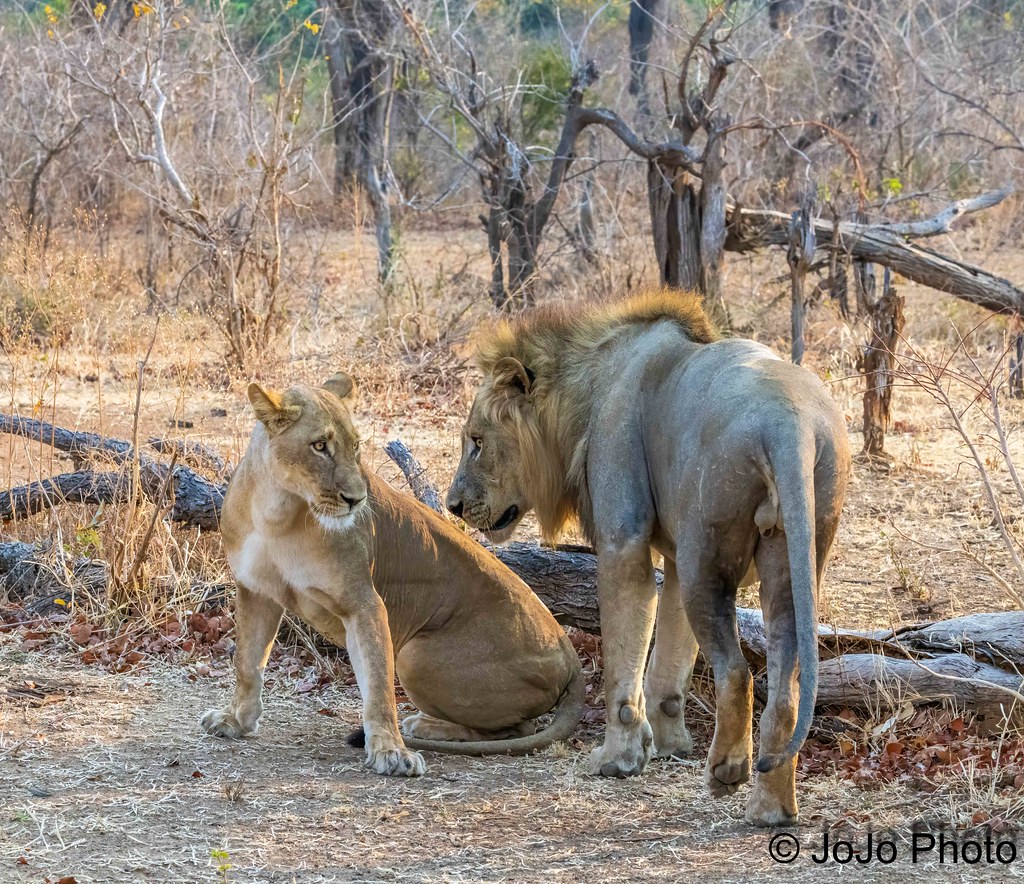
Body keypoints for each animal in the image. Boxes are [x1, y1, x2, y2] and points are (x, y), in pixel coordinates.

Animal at [200, 371, 585, 776]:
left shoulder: (364, 603)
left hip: (416, 655)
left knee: (517, 728)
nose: (357, 500)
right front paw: (235, 720)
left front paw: (391, 752)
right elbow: (247, 661)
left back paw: (425, 725)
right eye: (319, 446)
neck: (278, 508)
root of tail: (572, 659)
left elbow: (377, 683)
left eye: (355, 446)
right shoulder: (255, 590)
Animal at [447, 289, 850, 825]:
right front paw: (668, 744)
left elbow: (625, 659)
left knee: (737, 673)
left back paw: (726, 771)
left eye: (476, 441)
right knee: (784, 690)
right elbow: (669, 657)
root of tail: (792, 423)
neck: (588, 389)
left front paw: (619, 759)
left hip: (708, 560)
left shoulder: (625, 538)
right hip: (786, 556)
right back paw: (771, 808)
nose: (452, 504)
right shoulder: (676, 557)